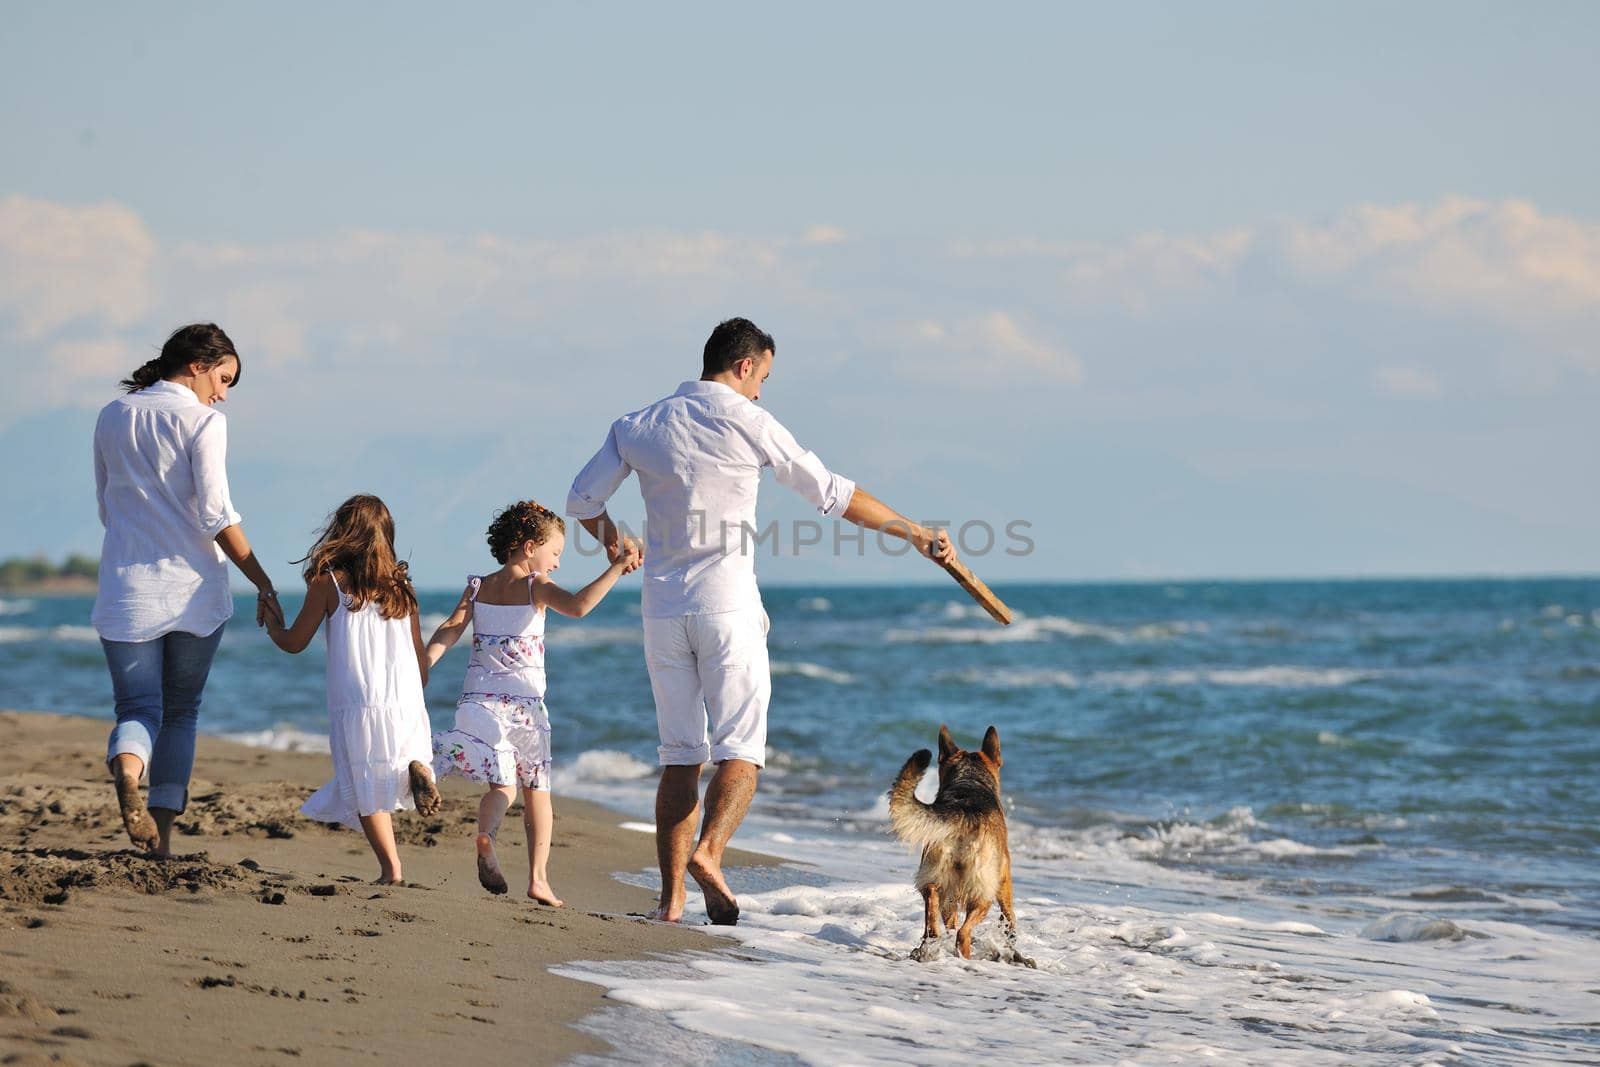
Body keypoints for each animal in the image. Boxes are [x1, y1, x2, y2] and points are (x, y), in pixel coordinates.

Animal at [889, 726, 1036, 966]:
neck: (970, 780)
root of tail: (963, 812)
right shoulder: (1004, 880)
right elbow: (1009, 916)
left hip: (935, 876)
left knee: (933, 905)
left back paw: (930, 943)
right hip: (983, 893)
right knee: (963, 932)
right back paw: (966, 955)